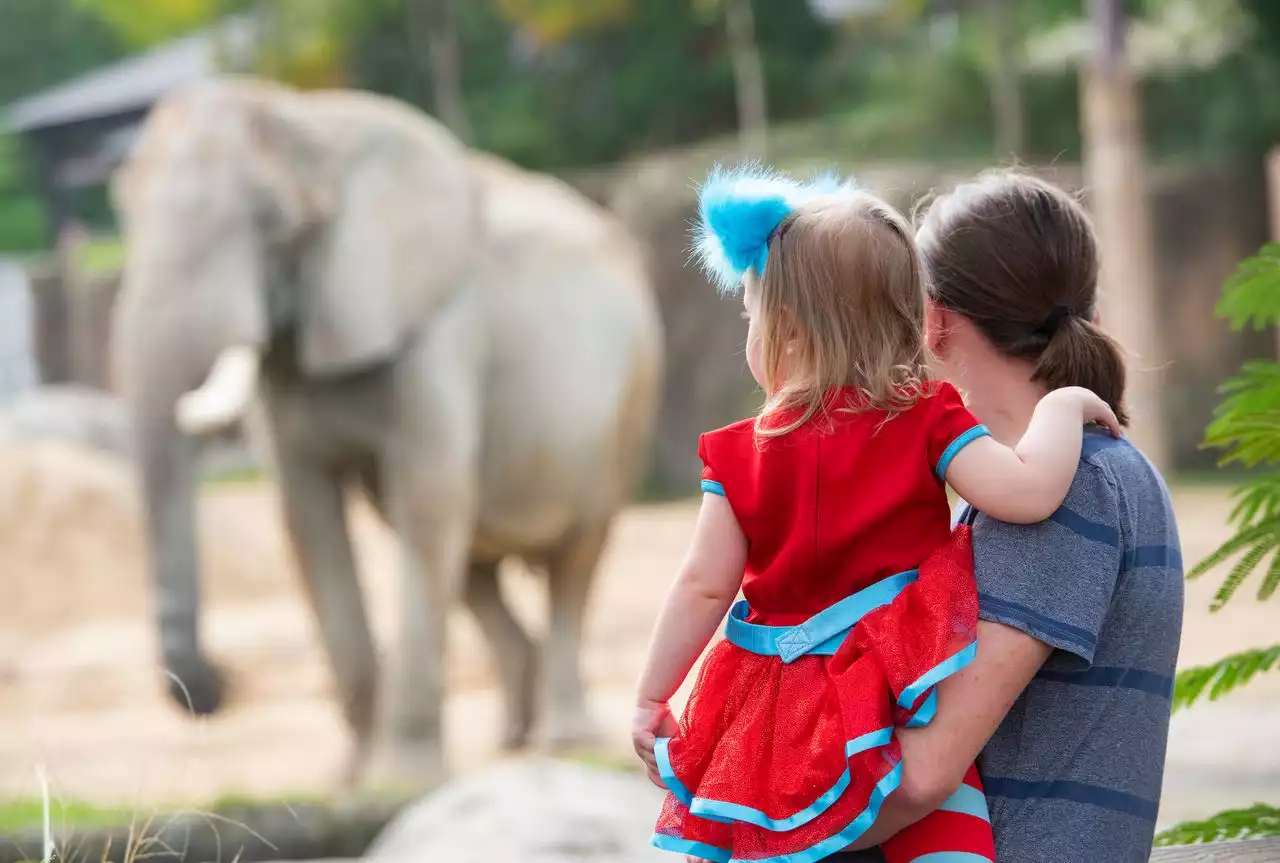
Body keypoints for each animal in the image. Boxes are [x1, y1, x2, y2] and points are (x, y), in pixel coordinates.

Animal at [110, 77, 665, 788]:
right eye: (124, 212)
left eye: (272, 226)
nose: (220, 685)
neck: (310, 122)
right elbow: (306, 514)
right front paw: (347, 781)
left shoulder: (439, 326)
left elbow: (428, 494)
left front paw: (402, 780)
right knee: (472, 565)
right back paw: (513, 738)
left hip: (629, 398)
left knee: (572, 558)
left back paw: (566, 741)